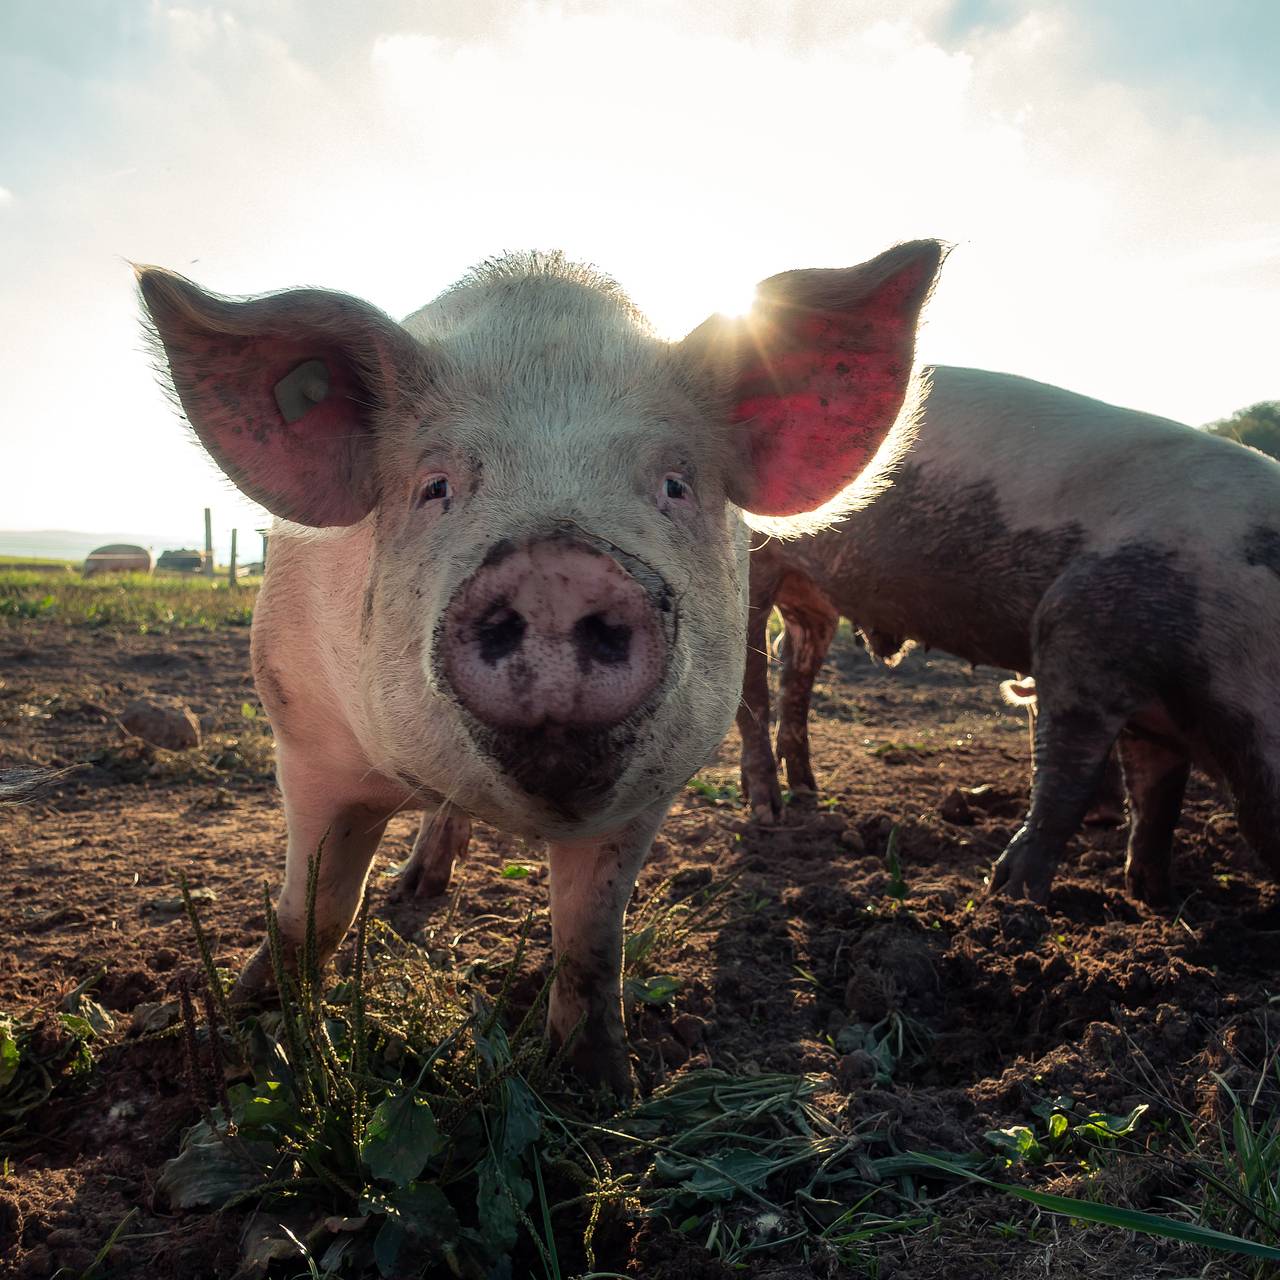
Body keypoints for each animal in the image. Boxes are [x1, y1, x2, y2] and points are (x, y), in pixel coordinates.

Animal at [737, 368, 1280, 911]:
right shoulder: (1074, 637)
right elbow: (1066, 784)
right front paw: (1012, 897)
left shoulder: (1154, 712)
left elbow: (1158, 798)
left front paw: (1155, 898)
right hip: (753, 567)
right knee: (752, 683)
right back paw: (768, 811)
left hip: (812, 597)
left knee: (796, 667)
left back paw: (807, 790)